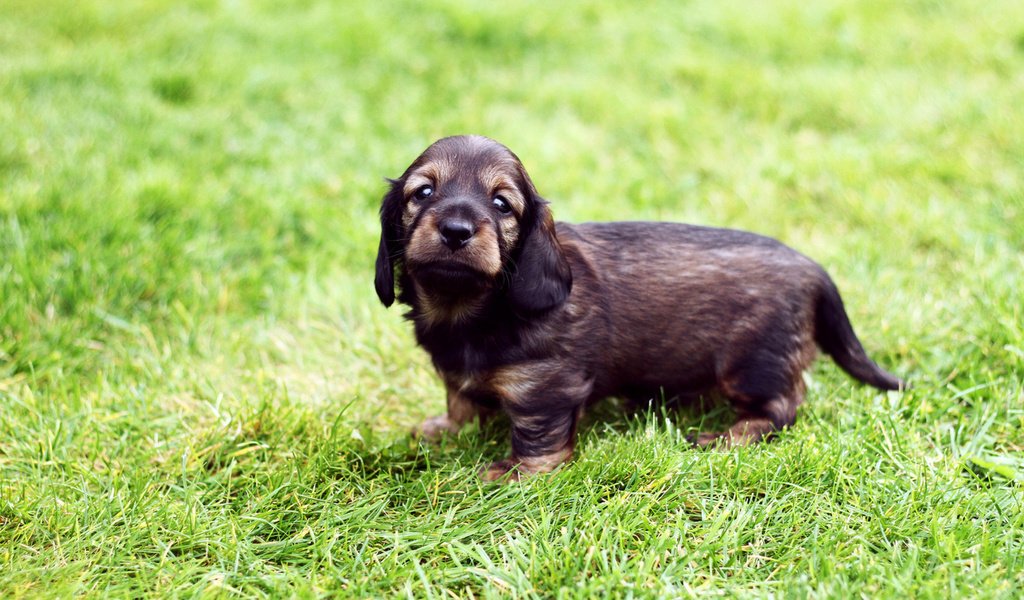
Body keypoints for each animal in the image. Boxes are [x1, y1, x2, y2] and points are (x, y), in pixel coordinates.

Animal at [376, 133, 905, 479]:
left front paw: (517, 472)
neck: (474, 310)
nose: (456, 230)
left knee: (782, 408)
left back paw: (725, 437)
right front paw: (446, 430)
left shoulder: (544, 386)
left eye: (502, 204)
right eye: (424, 192)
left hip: (753, 365)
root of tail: (813, 268)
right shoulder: (461, 376)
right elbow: (460, 398)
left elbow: (537, 435)